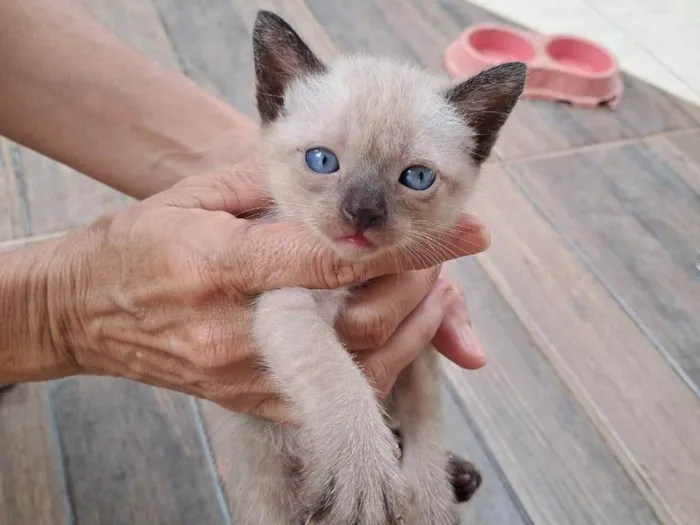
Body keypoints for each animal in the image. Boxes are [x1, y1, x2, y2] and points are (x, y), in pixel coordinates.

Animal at [226, 10, 524, 520]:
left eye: (417, 177)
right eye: (321, 160)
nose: (362, 213)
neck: (368, 276)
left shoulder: (422, 339)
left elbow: (426, 422)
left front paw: (431, 503)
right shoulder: (288, 306)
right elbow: (336, 375)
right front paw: (363, 477)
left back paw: (459, 477)